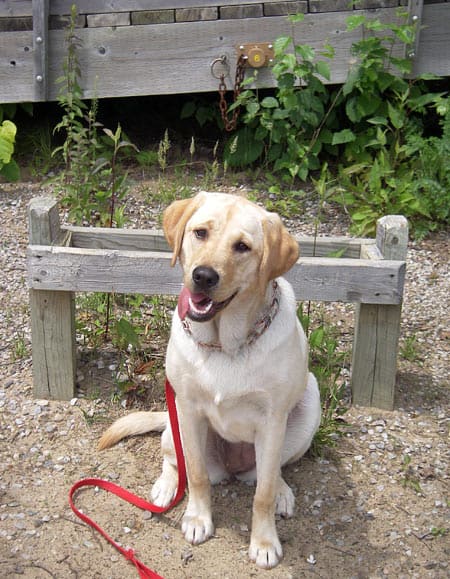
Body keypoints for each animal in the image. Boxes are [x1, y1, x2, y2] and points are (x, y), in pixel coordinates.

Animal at [100, 193, 322, 568]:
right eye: (200, 233)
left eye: (243, 246)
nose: (203, 276)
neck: (225, 343)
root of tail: (231, 469)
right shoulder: (188, 410)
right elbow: (197, 476)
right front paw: (197, 519)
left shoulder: (272, 421)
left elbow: (262, 494)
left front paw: (264, 541)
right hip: (175, 421)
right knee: (175, 459)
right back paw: (167, 487)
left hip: (309, 405)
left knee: (274, 471)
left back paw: (282, 492)